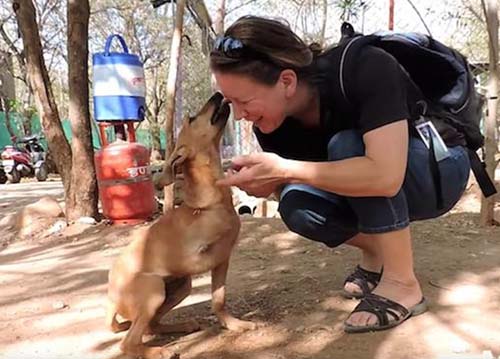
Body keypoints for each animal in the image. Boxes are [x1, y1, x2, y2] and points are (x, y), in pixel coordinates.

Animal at [105, 93, 254, 359]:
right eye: (192, 119)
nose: (218, 94)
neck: (214, 204)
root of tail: (112, 299)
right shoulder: (203, 253)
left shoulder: (222, 260)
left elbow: (219, 300)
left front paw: (233, 324)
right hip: (154, 288)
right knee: (129, 342)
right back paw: (159, 351)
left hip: (181, 286)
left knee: (151, 326)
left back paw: (182, 326)